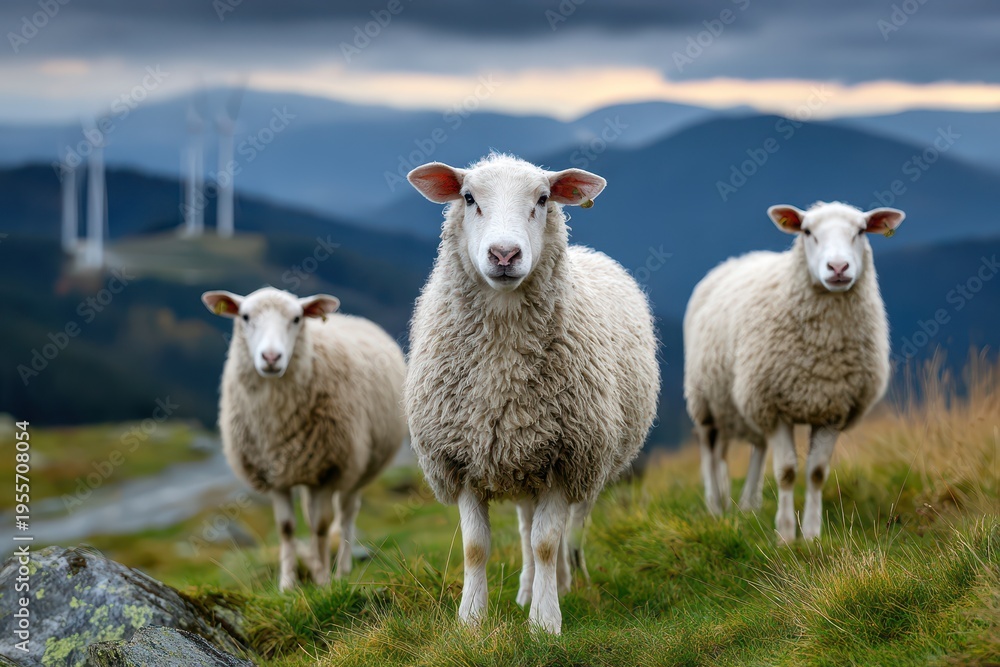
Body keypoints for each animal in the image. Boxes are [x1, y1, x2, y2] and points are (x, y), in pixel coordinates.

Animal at [201, 286, 407, 589]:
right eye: (245, 316)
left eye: (297, 318)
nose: (271, 357)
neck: (276, 420)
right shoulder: (274, 474)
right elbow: (287, 528)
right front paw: (288, 583)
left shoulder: (329, 469)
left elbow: (321, 526)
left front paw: (322, 580)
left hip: (357, 469)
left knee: (346, 514)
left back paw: (341, 569)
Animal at [404, 153, 660, 634]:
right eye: (469, 197)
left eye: (542, 199)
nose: (504, 254)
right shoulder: (461, 456)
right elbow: (476, 547)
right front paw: (471, 619)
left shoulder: (566, 457)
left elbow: (546, 542)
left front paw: (545, 622)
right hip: (521, 457)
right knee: (525, 527)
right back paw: (526, 589)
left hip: (588, 463)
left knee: (565, 531)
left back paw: (562, 582)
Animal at [683, 201, 904, 542]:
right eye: (807, 231)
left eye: (861, 231)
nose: (838, 268)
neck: (822, 348)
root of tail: (738, 259)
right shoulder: (774, 408)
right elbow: (786, 472)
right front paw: (786, 535)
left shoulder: (833, 409)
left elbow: (816, 473)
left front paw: (811, 534)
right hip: (705, 400)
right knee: (710, 451)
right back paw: (715, 506)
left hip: (740, 404)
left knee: (754, 449)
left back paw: (747, 506)